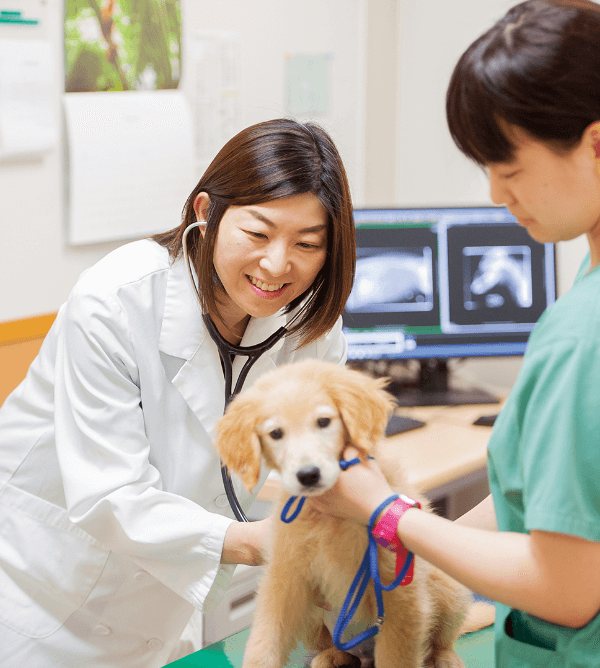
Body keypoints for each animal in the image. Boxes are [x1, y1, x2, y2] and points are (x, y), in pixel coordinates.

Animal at [213, 360, 472, 668]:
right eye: (276, 434)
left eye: (324, 422)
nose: (308, 475)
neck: (331, 517)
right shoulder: (285, 581)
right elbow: (264, 644)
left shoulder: (401, 597)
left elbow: (395, 656)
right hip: (312, 616)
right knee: (333, 646)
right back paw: (330, 658)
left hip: (448, 588)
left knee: (441, 641)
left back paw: (445, 658)